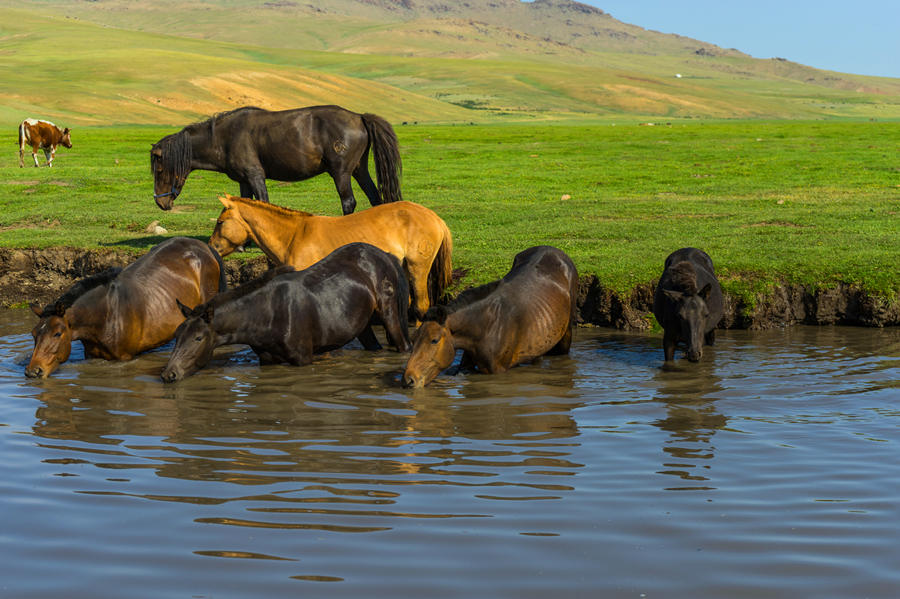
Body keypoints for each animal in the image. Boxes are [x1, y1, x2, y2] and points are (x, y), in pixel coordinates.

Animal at [25, 237, 226, 378]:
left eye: (57, 334)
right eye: (34, 334)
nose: (33, 371)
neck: (106, 314)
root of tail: (204, 247)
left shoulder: (124, 359)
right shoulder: (91, 356)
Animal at [150, 105, 402, 214]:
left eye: (160, 170)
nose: (161, 203)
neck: (223, 138)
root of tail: (359, 117)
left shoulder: (255, 175)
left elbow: (263, 201)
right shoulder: (243, 180)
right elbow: (245, 202)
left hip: (341, 172)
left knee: (349, 202)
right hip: (359, 170)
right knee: (375, 198)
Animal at [160, 243, 412, 382]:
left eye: (198, 338)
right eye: (177, 335)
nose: (168, 375)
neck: (266, 314)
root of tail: (385, 255)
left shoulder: (303, 359)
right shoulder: (266, 360)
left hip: (390, 315)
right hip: (362, 325)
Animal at [208, 194, 453, 320]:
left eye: (220, 222)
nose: (211, 247)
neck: (294, 235)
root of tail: (435, 218)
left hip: (417, 268)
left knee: (421, 306)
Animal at [402, 246, 578, 388]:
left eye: (434, 340)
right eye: (413, 338)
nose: (409, 379)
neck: (487, 325)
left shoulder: (497, 371)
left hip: (565, 337)